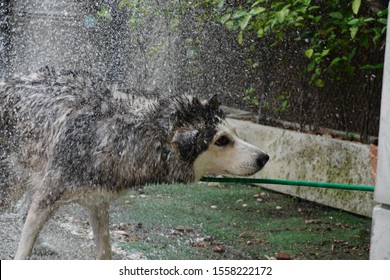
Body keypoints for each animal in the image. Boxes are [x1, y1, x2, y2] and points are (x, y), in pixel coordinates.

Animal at [0, 67, 268, 258]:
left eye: (235, 133)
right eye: (222, 141)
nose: (264, 157)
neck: (124, 137)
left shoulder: (97, 202)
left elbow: (105, 253)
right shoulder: (47, 198)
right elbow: (22, 253)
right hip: (12, 187)